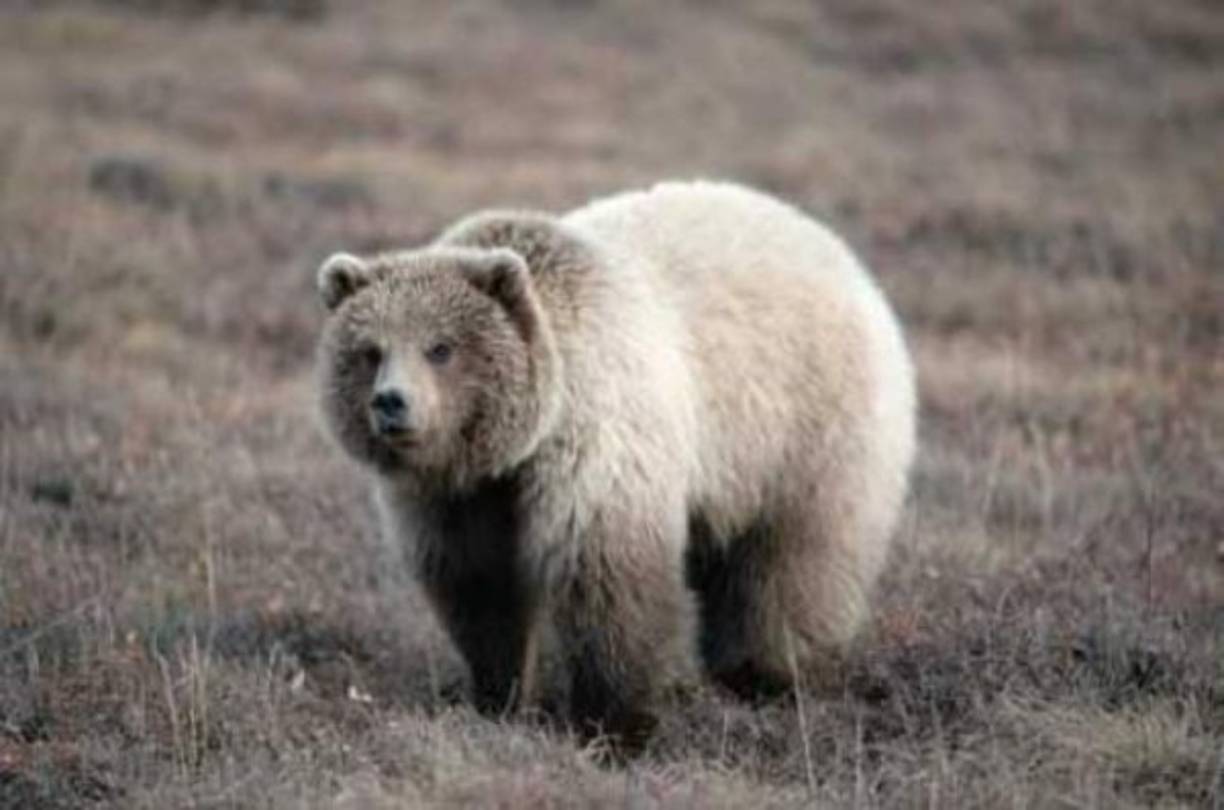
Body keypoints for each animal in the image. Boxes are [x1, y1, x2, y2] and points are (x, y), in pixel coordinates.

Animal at [314, 180, 916, 746]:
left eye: (441, 348)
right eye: (370, 350)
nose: (391, 402)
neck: (517, 446)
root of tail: (834, 249)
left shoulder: (597, 443)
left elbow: (607, 579)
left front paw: (613, 727)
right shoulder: (457, 499)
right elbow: (480, 588)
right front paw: (498, 696)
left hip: (804, 429)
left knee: (791, 563)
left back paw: (763, 677)